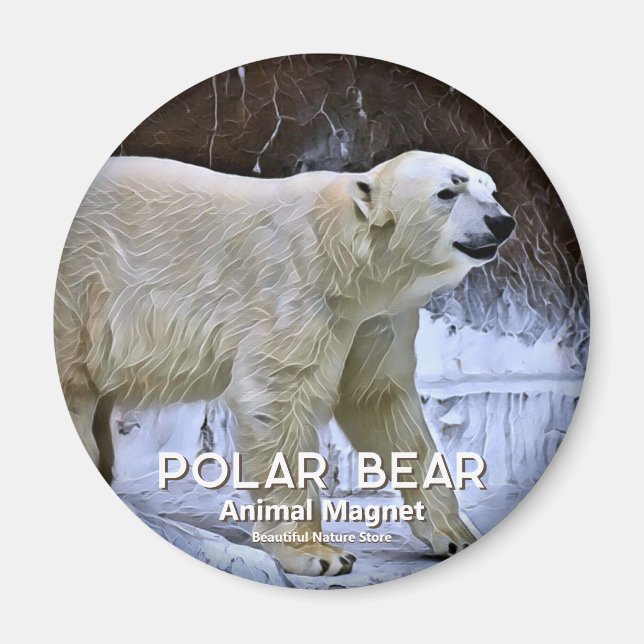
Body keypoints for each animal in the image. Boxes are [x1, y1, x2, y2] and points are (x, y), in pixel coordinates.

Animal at [54, 150, 515, 576]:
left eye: (491, 189)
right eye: (447, 192)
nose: (502, 222)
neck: (345, 255)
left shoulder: (377, 318)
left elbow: (380, 401)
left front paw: (454, 534)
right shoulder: (296, 290)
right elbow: (276, 395)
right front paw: (319, 555)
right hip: (81, 291)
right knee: (74, 385)